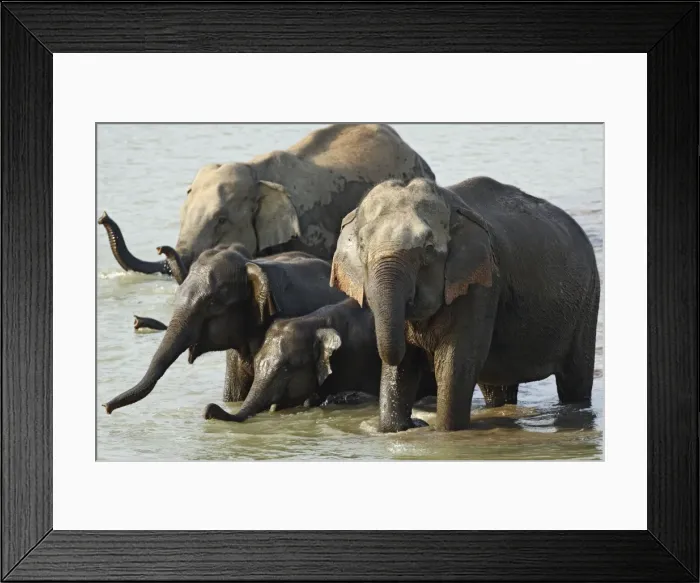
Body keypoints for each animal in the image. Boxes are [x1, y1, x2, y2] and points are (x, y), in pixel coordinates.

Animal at [330, 176, 600, 432]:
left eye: (428, 249)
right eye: (362, 246)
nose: (418, 422)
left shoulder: (481, 284)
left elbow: (456, 362)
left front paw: (444, 433)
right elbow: (401, 366)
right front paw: (395, 429)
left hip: (588, 301)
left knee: (575, 378)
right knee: (497, 387)